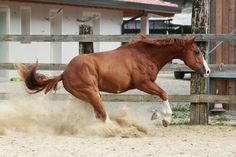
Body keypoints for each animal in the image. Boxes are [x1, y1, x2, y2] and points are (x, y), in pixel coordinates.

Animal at [17, 36, 211, 126]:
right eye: (196, 52)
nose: (207, 71)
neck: (145, 55)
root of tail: (65, 73)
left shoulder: (146, 85)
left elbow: (162, 95)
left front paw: (157, 115)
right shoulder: (143, 84)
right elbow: (164, 94)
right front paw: (165, 119)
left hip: (88, 96)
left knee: (98, 114)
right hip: (91, 92)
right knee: (103, 115)